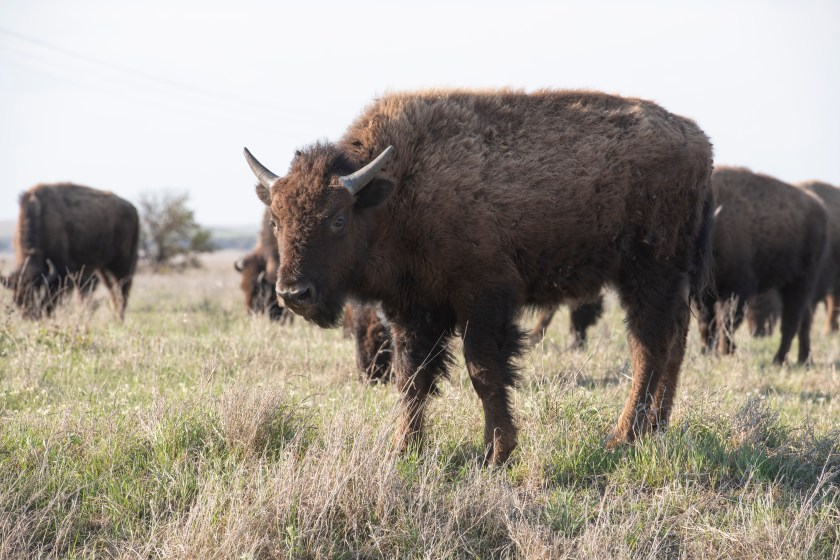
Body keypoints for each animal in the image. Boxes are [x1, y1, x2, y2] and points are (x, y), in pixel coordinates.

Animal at [1, 183, 139, 319]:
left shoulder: (61, 276)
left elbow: (49, 302)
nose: (27, 316)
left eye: (36, 290)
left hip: (122, 266)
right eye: (16, 298)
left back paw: (119, 319)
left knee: (122, 292)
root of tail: (133, 209)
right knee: (113, 291)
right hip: (103, 269)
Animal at [244, 90, 714, 464]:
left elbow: (484, 373)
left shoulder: (483, 300)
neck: (396, 189)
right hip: (666, 278)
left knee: (648, 347)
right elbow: (411, 380)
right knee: (673, 342)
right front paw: (404, 450)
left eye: (338, 219)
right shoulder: (412, 309)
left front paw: (497, 453)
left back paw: (622, 438)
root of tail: (698, 140)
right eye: (277, 219)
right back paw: (657, 427)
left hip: (648, 271)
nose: (294, 293)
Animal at [697, 168, 829, 364]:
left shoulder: (737, 289)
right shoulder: (705, 296)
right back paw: (804, 360)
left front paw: (726, 351)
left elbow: (726, 321)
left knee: (791, 322)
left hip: (800, 283)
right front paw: (708, 352)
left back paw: (779, 359)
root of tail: (820, 207)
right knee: (804, 321)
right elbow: (707, 323)